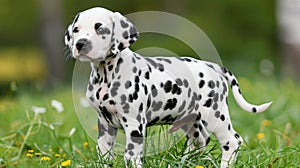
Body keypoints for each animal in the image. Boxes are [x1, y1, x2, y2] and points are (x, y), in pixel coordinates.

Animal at [65, 6, 272, 168]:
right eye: (76, 30)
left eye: (100, 28)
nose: (80, 44)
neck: (106, 74)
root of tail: (211, 66)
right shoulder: (105, 124)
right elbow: (104, 154)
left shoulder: (134, 124)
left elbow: (131, 156)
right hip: (190, 119)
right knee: (200, 140)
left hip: (215, 115)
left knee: (232, 141)